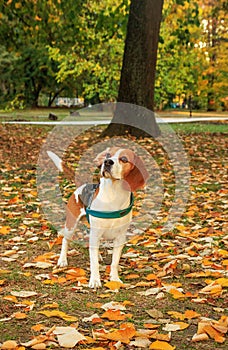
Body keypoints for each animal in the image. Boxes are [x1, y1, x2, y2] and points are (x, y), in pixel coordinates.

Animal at [47, 147, 149, 288]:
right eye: (108, 155)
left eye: (124, 159)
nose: (107, 162)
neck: (113, 194)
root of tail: (83, 185)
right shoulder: (95, 234)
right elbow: (93, 263)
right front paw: (95, 281)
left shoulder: (119, 238)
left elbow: (114, 262)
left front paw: (115, 279)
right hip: (71, 225)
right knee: (65, 240)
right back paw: (62, 260)